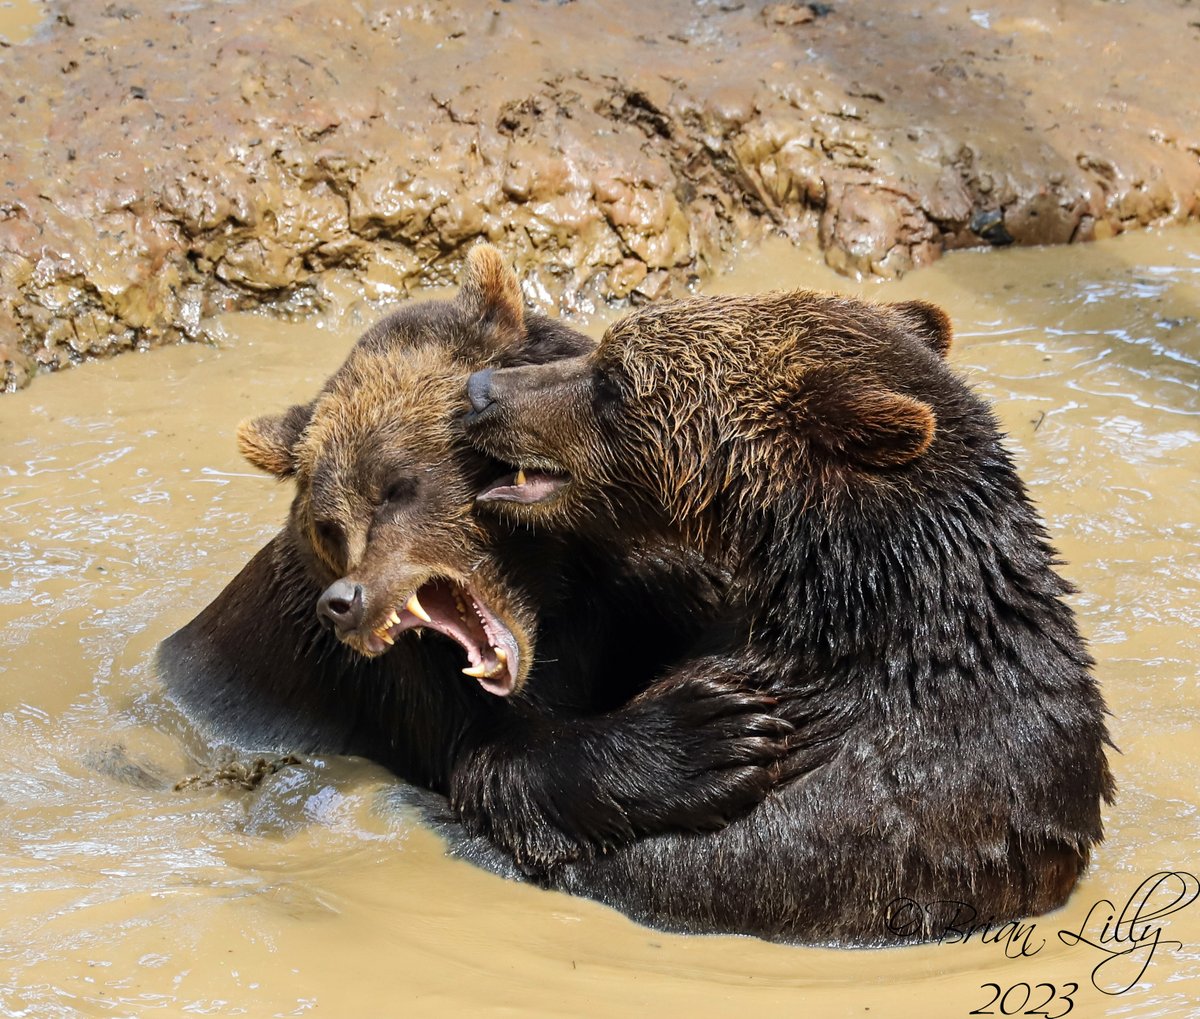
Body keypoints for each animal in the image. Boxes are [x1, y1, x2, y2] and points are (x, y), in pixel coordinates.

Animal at [157, 248, 787, 873]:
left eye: (394, 487)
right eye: (328, 526)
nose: (344, 602)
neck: (548, 589)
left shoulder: (641, 580)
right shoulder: (410, 689)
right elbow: (498, 763)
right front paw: (712, 734)